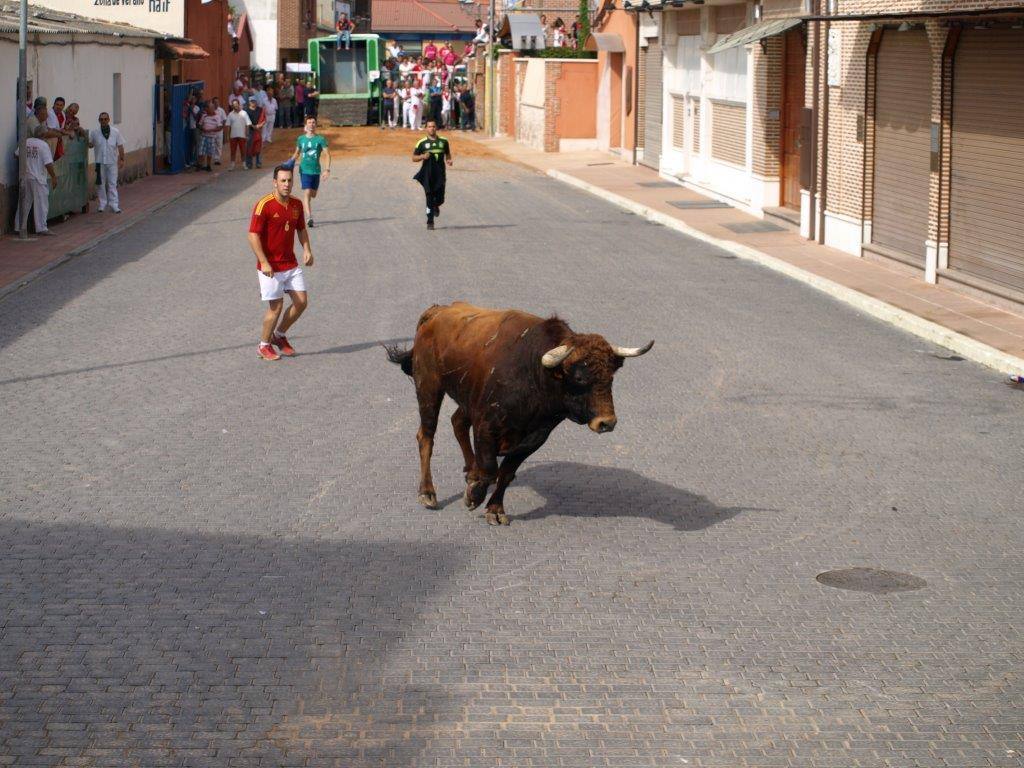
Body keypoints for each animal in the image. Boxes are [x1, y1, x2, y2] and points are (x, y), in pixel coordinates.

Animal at [387, 303, 651, 528]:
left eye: (611, 376)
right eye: (579, 377)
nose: (607, 422)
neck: (534, 373)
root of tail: (436, 312)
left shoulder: (535, 438)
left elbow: (506, 472)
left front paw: (494, 509)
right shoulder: (486, 426)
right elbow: (491, 467)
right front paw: (473, 496)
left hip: (466, 399)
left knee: (458, 423)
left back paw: (470, 472)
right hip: (428, 387)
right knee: (427, 435)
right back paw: (427, 493)